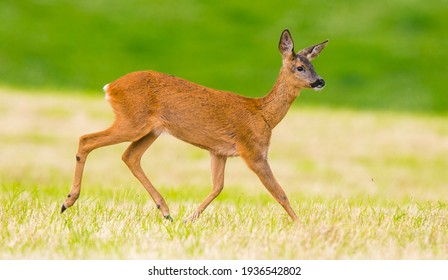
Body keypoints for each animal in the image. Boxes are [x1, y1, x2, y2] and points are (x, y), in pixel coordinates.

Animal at [59, 29, 328, 222]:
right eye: (300, 67)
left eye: (314, 66)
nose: (320, 81)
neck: (263, 115)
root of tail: (111, 87)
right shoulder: (252, 151)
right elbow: (279, 192)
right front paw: (302, 227)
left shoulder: (218, 151)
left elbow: (218, 187)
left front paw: (190, 219)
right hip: (132, 121)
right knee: (86, 139)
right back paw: (67, 201)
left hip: (150, 130)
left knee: (130, 156)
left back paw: (166, 212)